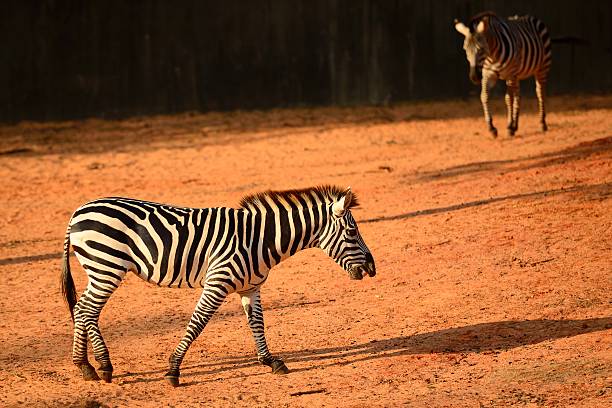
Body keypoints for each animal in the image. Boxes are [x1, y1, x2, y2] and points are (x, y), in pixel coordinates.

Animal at [59, 185, 376, 386]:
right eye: (352, 231)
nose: (372, 269)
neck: (260, 240)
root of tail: (78, 211)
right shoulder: (217, 282)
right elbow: (197, 323)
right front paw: (173, 370)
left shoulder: (250, 287)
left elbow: (257, 324)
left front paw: (270, 361)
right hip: (107, 266)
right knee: (87, 310)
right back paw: (103, 366)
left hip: (99, 269)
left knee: (80, 307)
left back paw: (84, 366)